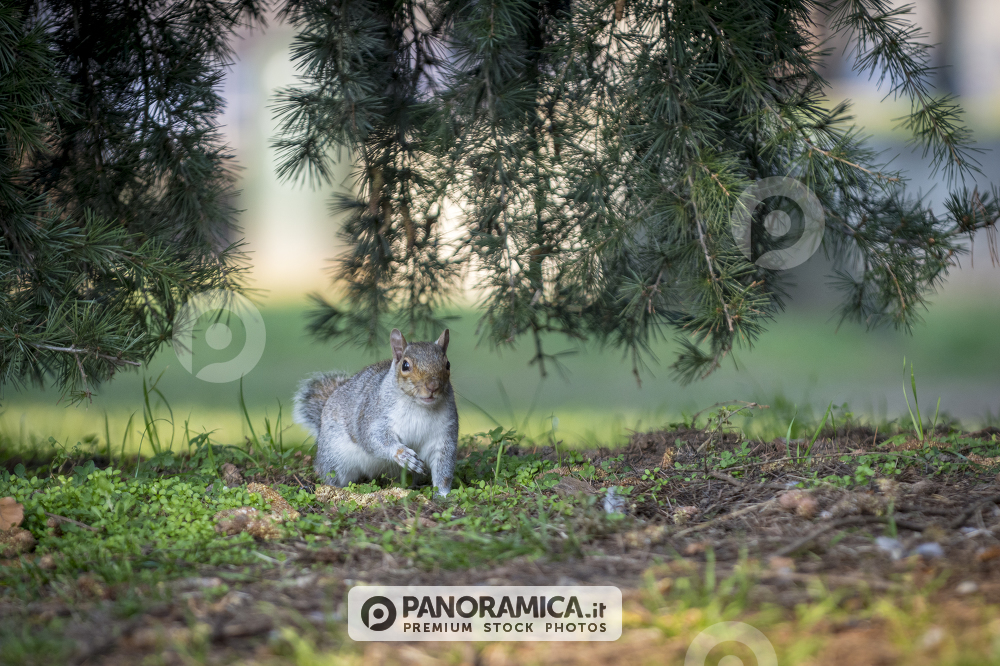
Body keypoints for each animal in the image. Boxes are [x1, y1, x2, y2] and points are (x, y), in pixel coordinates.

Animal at [293, 328, 458, 497]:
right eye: (405, 365)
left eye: (448, 364)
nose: (433, 386)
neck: (419, 407)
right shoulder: (372, 416)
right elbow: (373, 438)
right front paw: (402, 454)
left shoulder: (444, 435)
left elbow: (443, 469)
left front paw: (444, 495)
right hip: (334, 458)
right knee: (331, 475)